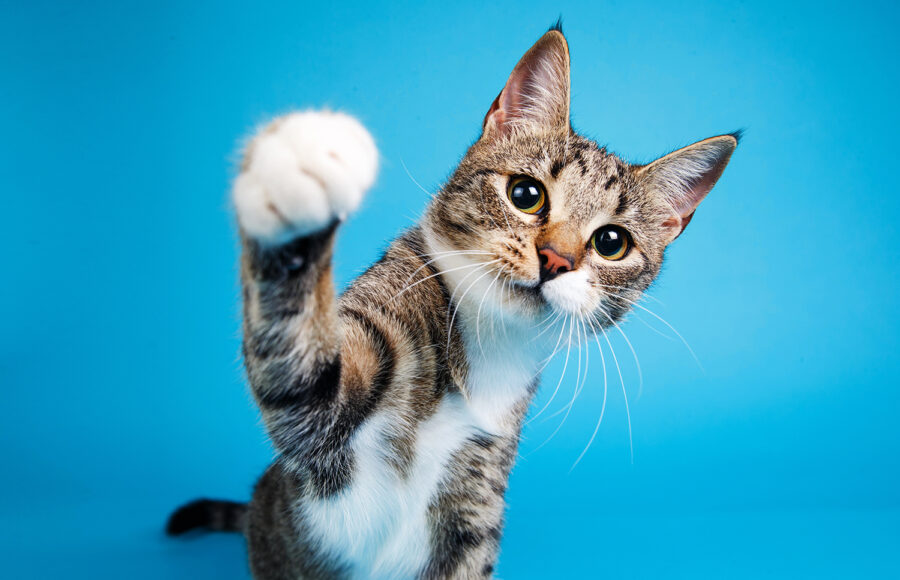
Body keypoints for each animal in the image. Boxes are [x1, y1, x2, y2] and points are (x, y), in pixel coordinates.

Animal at [167, 23, 740, 580]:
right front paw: (295, 182)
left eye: (612, 243)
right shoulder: (331, 414)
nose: (555, 259)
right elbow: (304, 375)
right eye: (526, 194)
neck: (487, 347)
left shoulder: (475, 498)